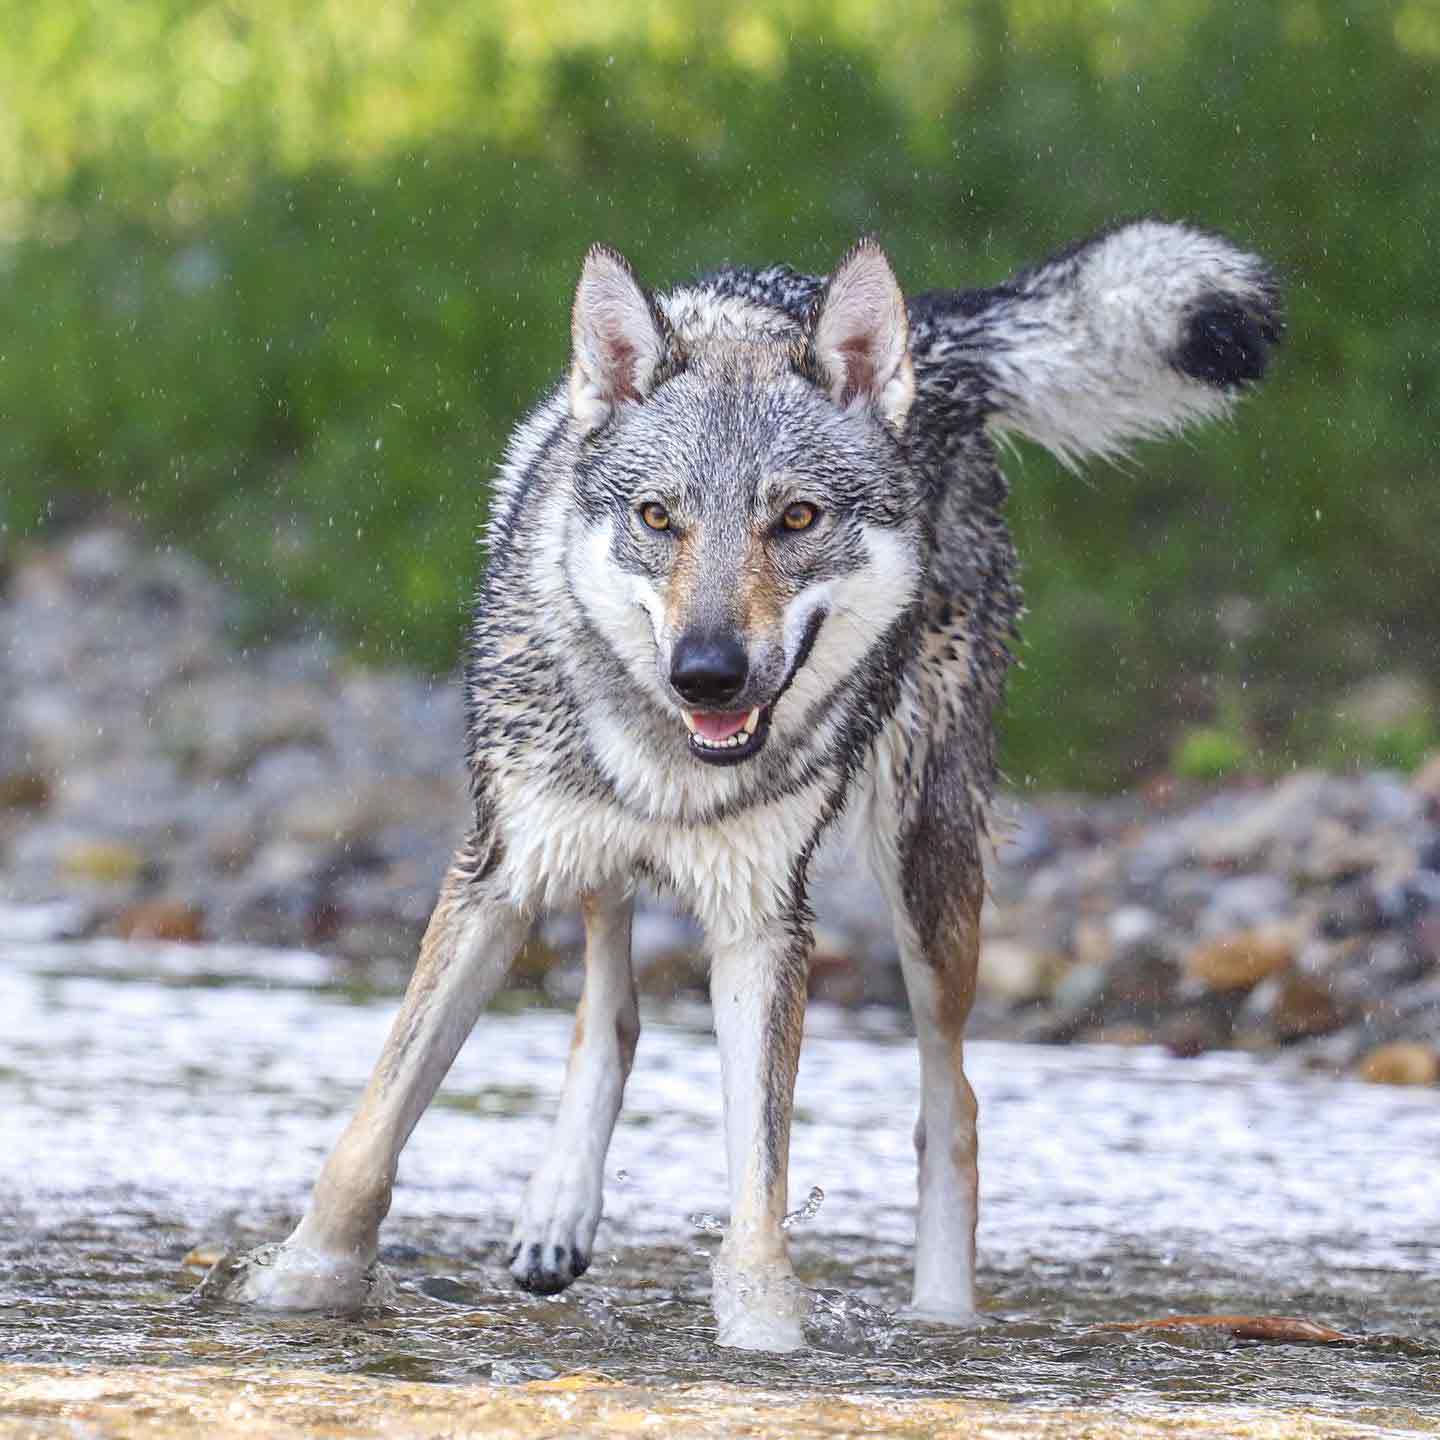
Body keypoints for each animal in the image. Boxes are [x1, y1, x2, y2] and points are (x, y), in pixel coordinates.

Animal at [203, 220, 1279, 1350]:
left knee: (955, 1108)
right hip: (587, 851)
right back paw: (557, 1211)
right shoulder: (497, 873)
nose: (708, 673)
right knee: (612, 1006)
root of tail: (931, 340)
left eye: (796, 518)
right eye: (657, 517)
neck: (675, 768)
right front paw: (302, 1278)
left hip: (925, 869)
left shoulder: (765, 921)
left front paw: (764, 1328)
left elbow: (762, 1173)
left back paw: (942, 1317)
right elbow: (373, 1127)